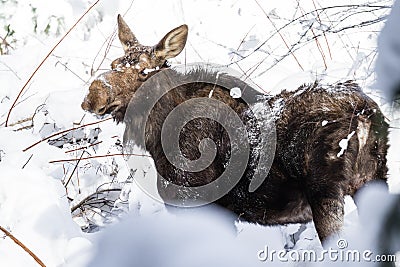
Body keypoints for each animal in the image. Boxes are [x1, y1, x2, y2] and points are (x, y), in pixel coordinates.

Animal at [81, 15, 388, 244]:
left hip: (326, 190)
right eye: (114, 64)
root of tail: (364, 112)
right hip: (372, 179)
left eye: (142, 71)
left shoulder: (194, 202)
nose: (92, 96)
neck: (157, 135)